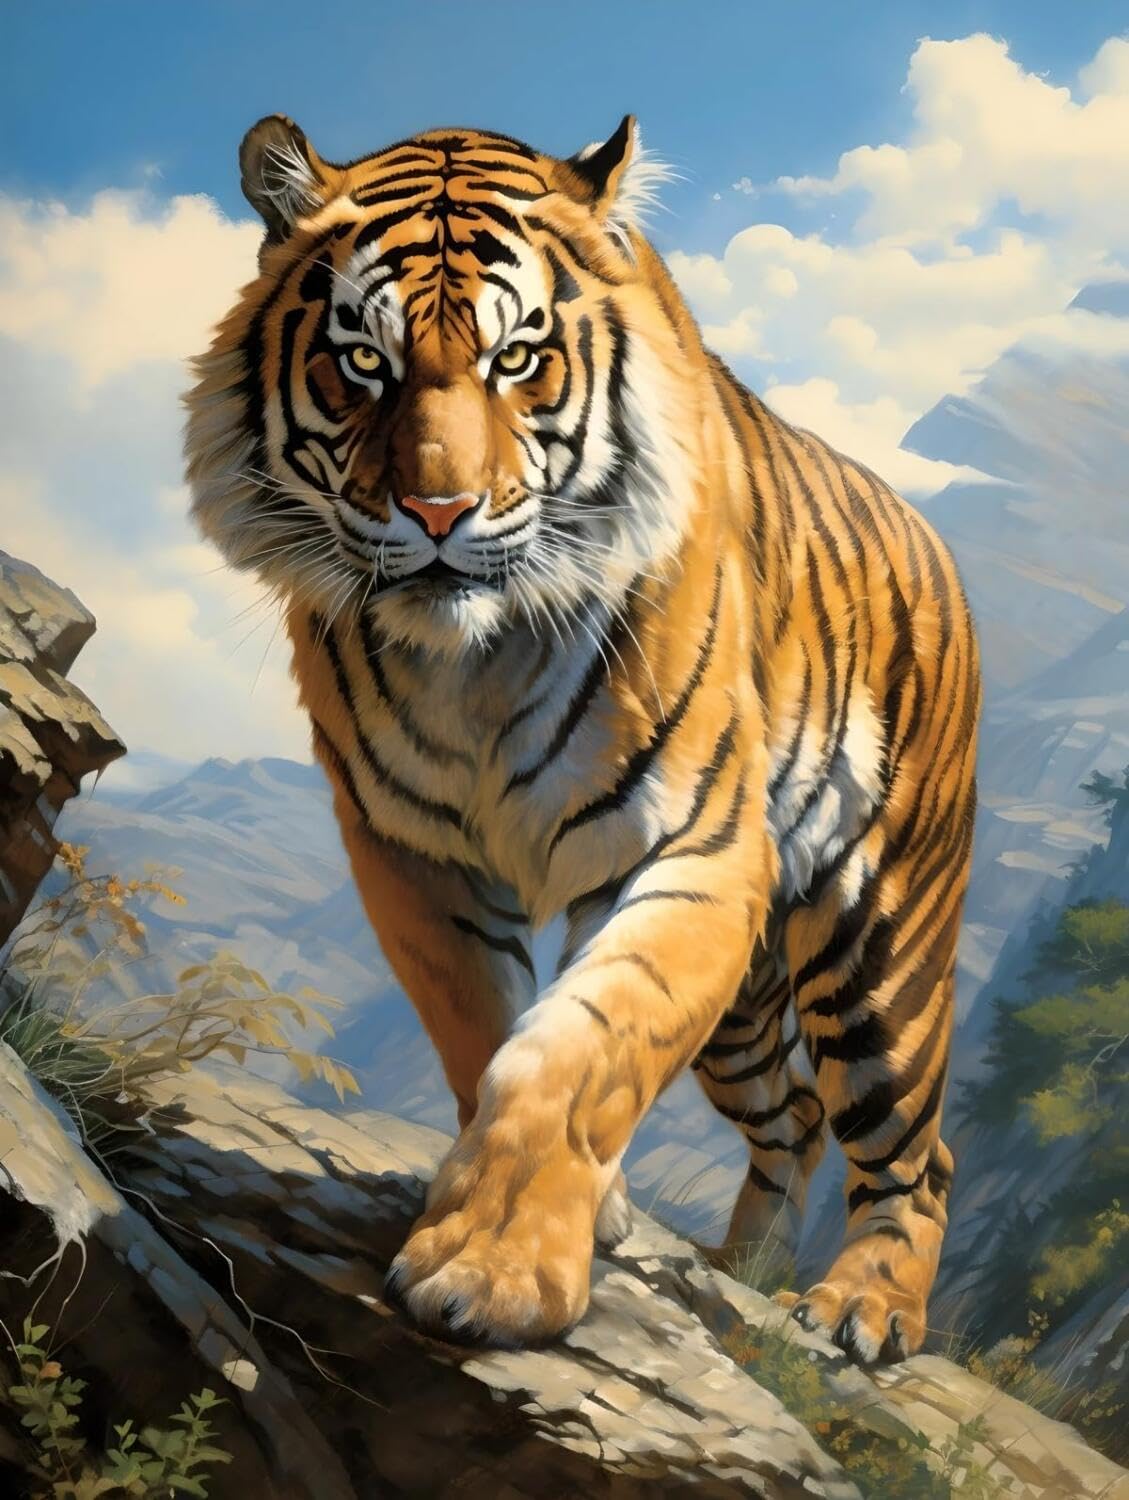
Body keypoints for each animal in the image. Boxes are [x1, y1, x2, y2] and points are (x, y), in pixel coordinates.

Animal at [185, 112, 980, 1364]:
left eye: (517, 358)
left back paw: (863, 1309)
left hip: (880, 945)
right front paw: (570, 1216)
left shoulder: (693, 855)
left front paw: (493, 1274)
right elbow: (486, 1037)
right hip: (746, 1018)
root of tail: (930, 538)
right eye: (362, 360)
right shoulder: (417, 856)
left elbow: (575, 1051)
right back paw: (741, 1271)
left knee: (914, 1145)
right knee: (796, 1112)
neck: (473, 661)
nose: (438, 512)